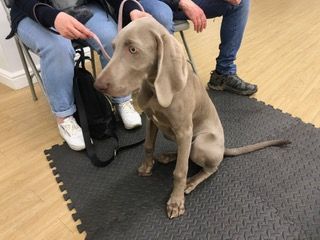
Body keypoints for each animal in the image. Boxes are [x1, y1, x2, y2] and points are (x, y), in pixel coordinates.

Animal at [94, 16, 288, 219]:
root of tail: (223, 148)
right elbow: (148, 146)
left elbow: (180, 171)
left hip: (200, 142)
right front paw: (147, 167)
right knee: (184, 154)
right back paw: (168, 156)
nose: (97, 85)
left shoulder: (184, 130)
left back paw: (192, 181)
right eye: (113, 47)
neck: (155, 86)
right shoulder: (151, 120)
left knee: (208, 166)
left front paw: (176, 201)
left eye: (133, 49)